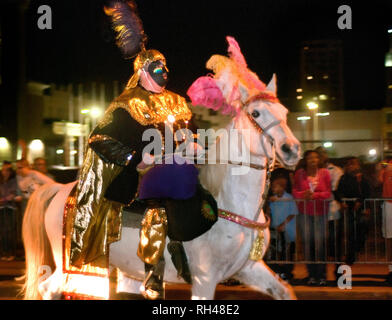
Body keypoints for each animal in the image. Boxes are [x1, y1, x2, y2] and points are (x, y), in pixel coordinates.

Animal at [22, 72, 300, 300]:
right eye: (256, 114)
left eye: (284, 112)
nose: (291, 149)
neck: (229, 202)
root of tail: (59, 189)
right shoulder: (204, 279)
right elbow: (100, 137)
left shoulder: (248, 269)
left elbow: (285, 291)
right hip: (70, 263)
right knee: (47, 288)